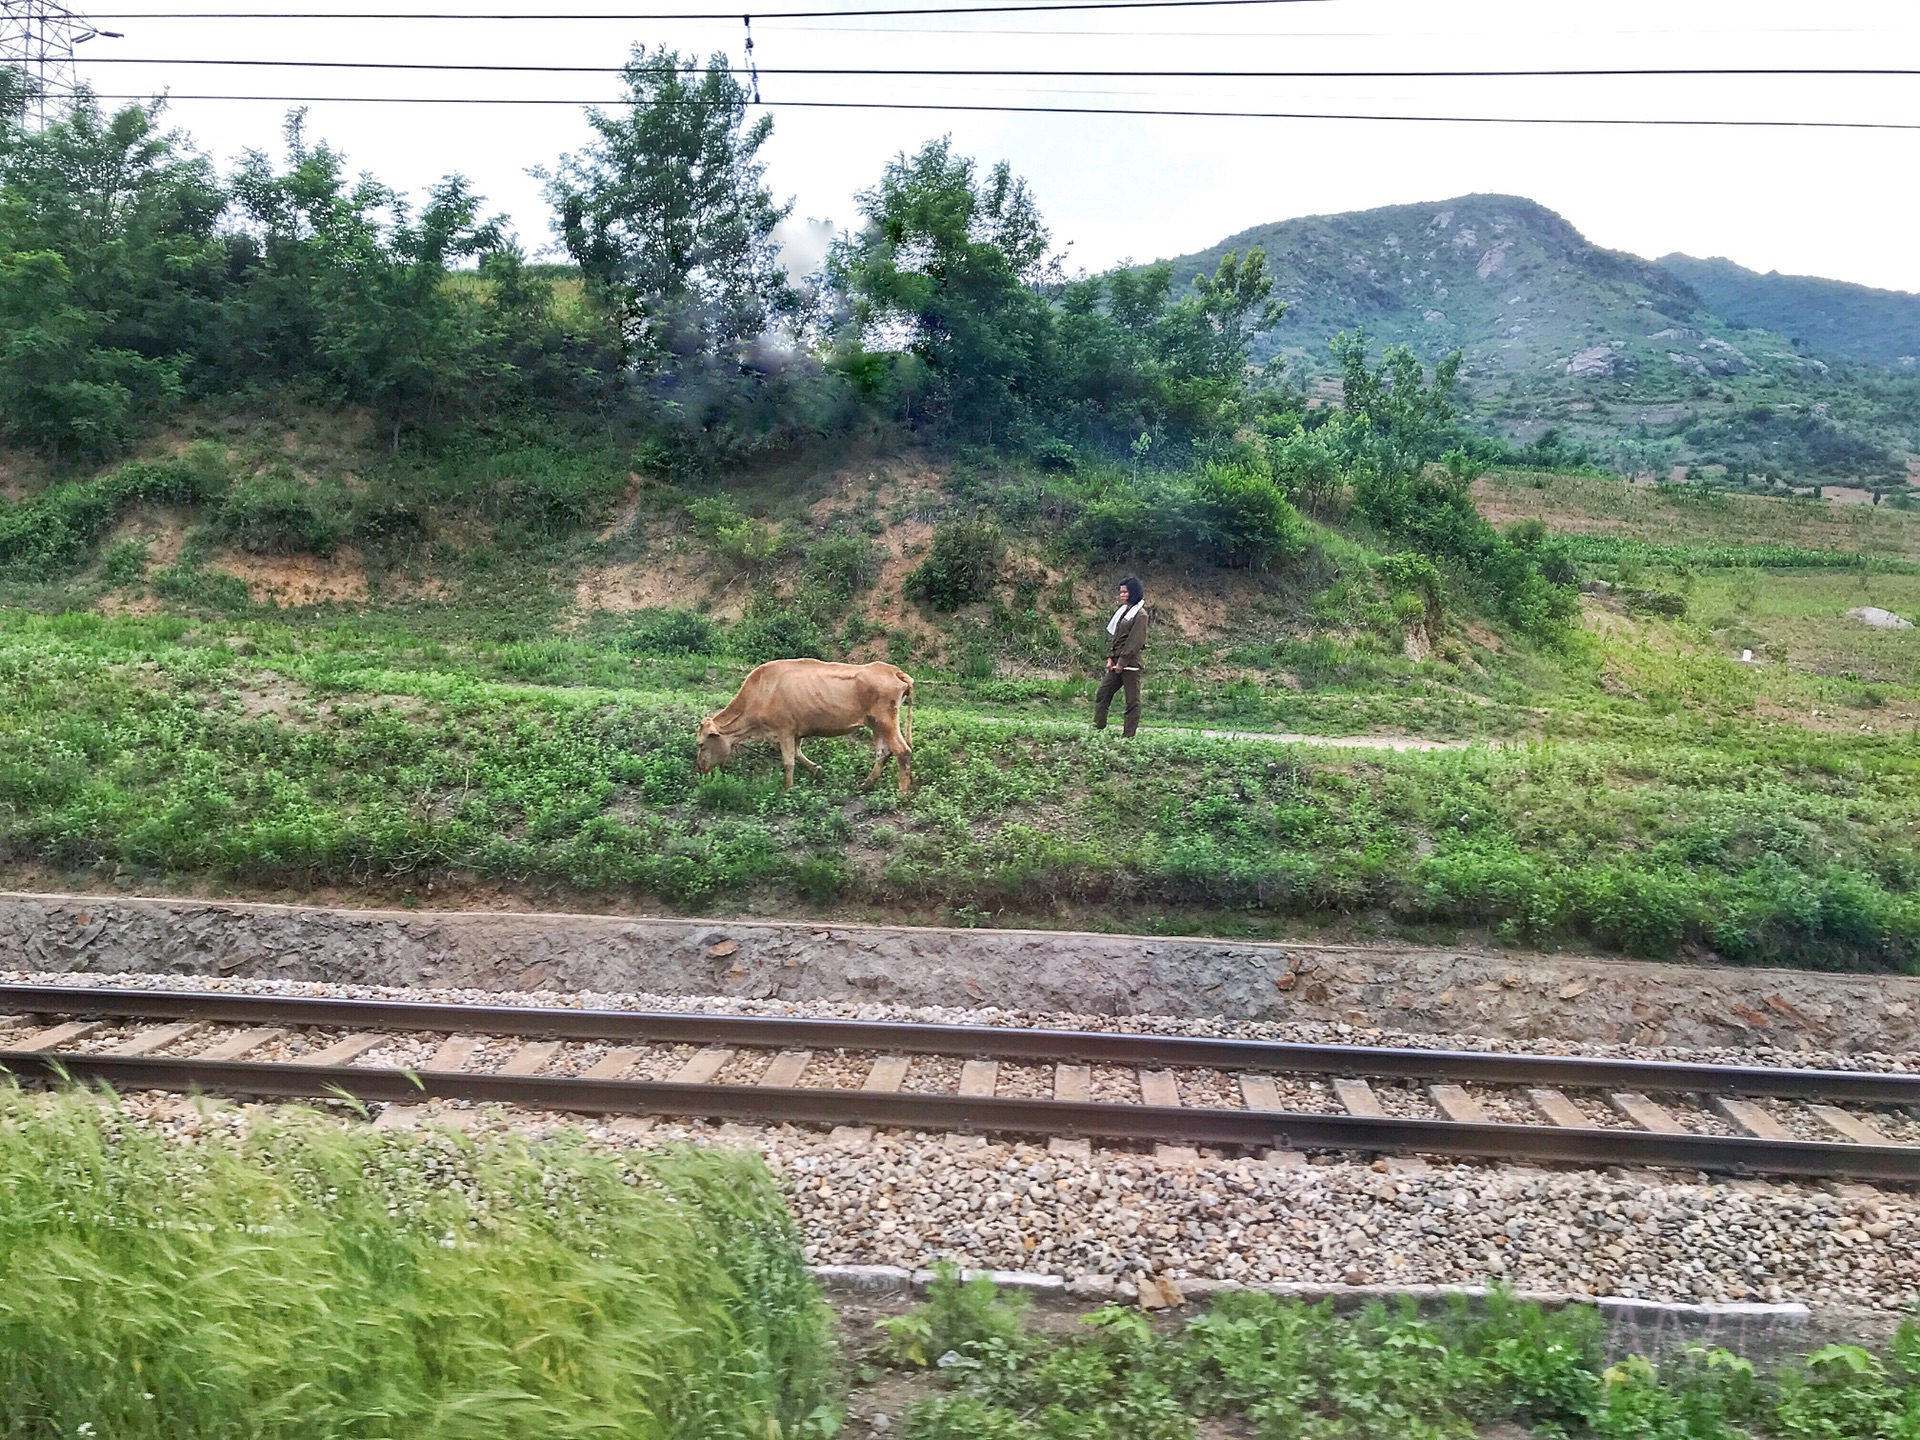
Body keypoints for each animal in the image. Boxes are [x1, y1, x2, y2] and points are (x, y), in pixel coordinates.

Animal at [698, 660, 913, 794]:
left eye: (700, 744)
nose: (700, 768)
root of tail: (893, 670)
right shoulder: (793, 731)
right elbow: (797, 753)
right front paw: (817, 770)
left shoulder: (784, 729)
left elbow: (788, 760)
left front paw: (787, 788)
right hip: (876, 724)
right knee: (883, 753)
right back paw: (866, 785)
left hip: (886, 721)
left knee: (903, 751)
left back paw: (902, 793)